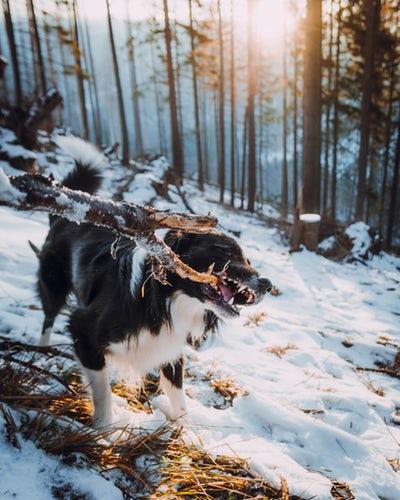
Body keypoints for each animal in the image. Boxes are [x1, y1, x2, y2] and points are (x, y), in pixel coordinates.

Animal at [37, 139, 272, 428]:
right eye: (226, 252)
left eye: (247, 258)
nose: (267, 283)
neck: (166, 299)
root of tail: (67, 214)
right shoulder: (83, 330)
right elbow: (103, 394)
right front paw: (103, 431)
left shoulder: (169, 348)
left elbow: (179, 399)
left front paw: (185, 432)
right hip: (53, 284)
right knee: (48, 317)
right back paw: (42, 352)